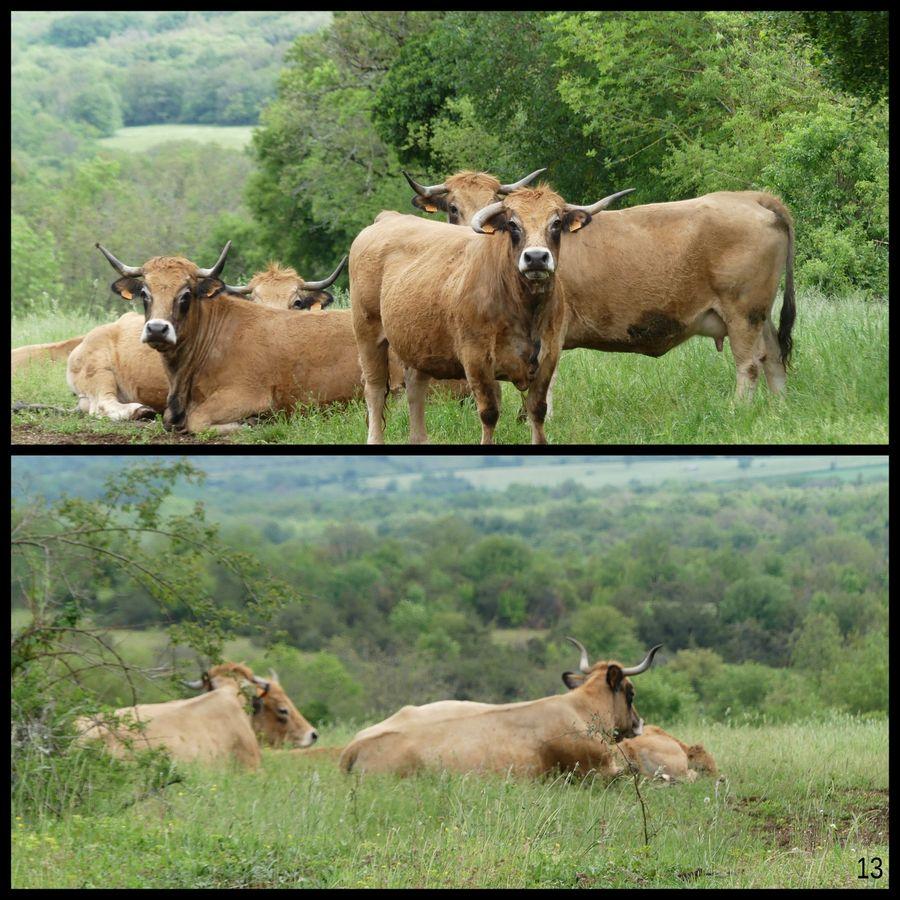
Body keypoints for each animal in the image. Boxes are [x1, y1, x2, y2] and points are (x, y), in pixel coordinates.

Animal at [352, 185, 632, 444]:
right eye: (512, 224)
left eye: (555, 223)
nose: (536, 257)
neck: (525, 308)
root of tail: (386, 220)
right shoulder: (476, 359)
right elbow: (489, 413)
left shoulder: (549, 355)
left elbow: (537, 410)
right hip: (367, 332)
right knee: (374, 389)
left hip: (419, 344)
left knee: (415, 387)